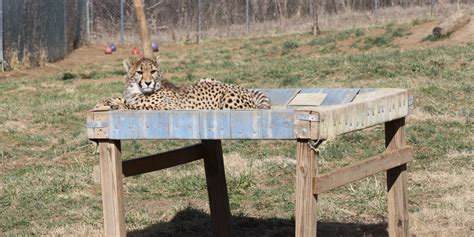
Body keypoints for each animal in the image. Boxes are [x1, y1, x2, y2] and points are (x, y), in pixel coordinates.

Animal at [95, 56, 270, 110]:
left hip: (228, 99)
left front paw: (118, 105)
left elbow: (138, 106)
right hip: (206, 78)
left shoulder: (170, 107)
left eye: (153, 71)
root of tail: (243, 88)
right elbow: (123, 99)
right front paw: (104, 101)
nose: (148, 83)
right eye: (139, 72)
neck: (136, 91)